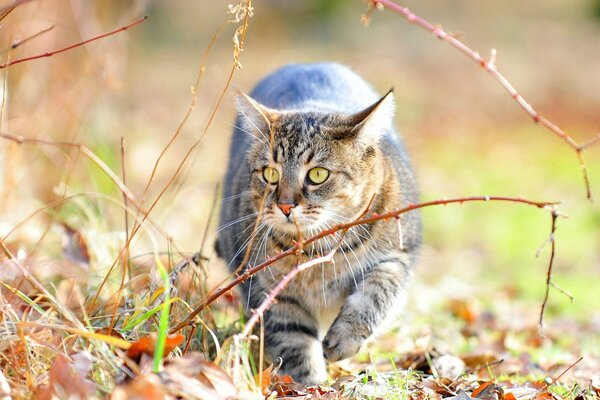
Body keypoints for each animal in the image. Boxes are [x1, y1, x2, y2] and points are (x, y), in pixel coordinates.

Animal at [217, 63, 422, 384]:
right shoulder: (268, 288)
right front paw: (310, 384)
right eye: (270, 174)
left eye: (317, 175)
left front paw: (345, 338)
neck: (318, 252)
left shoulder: (397, 255)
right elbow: (294, 341)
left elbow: (376, 294)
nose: (285, 205)